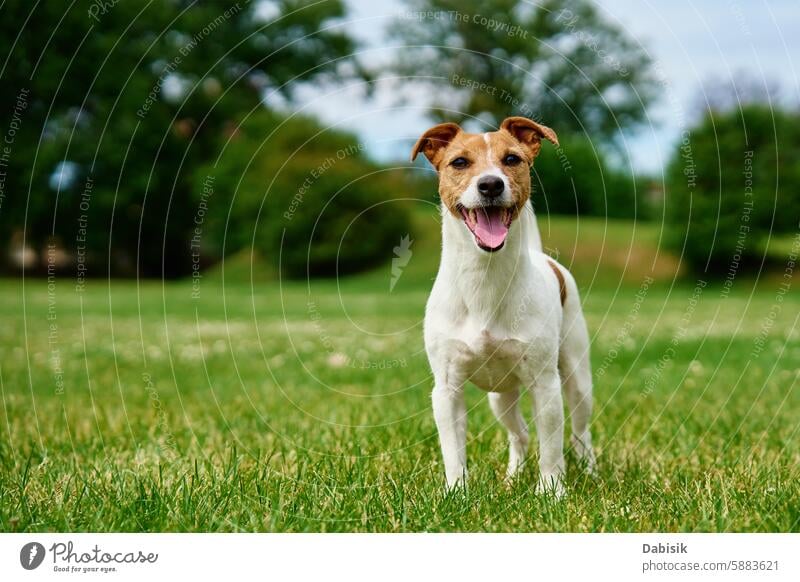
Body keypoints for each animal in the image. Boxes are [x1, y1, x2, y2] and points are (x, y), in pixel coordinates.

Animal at [412, 115, 592, 498]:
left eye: (512, 159)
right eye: (459, 162)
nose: (491, 184)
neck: (485, 278)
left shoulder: (546, 384)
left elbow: (552, 447)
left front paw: (551, 492)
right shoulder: (446, 389)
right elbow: (453, 450)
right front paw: (456, 492)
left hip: (576, 376)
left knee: (580, 434)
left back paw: (591, 472)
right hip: (501, 397)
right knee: (519, 434)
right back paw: (512, 476)